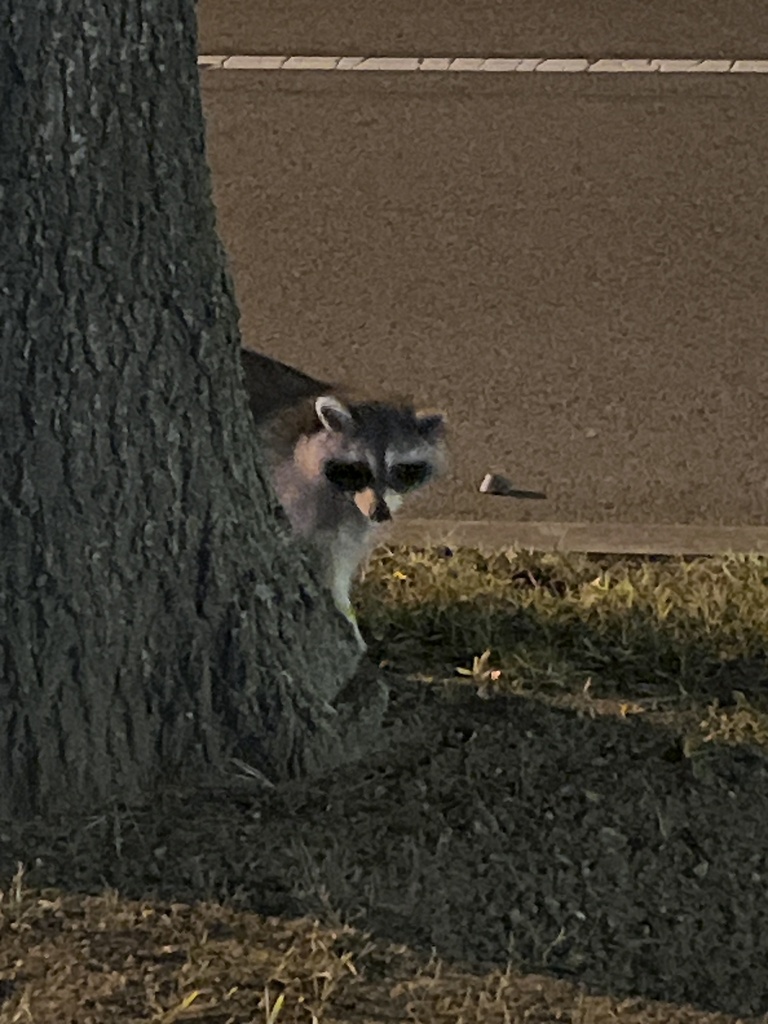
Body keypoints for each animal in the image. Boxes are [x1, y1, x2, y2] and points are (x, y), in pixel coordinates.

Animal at [252, 364, 446, 650]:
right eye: (357, 469)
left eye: (401, 471)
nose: (380, 512)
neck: (342, 496)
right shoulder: (283, 477)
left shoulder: (354, 518)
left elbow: (338, 563)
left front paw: (345, 612)